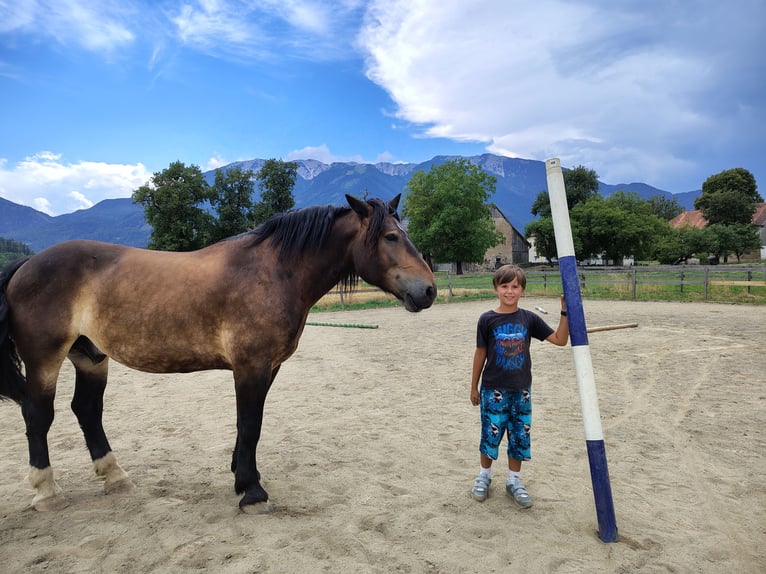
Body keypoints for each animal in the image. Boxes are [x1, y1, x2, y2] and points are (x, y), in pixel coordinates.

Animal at [0, 194, 436, 514]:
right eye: (390, 237)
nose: (429, 290)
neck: (273, 271)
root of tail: (27, 264)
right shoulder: (250, 366)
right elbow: (250, 424)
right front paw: (252, 492)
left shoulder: (268, 368)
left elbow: (250, 426)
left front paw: (241, 476)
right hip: (45, 359)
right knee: (39, 416)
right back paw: (47, 493)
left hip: (91, 357)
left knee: (87, 410)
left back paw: (116, 477)